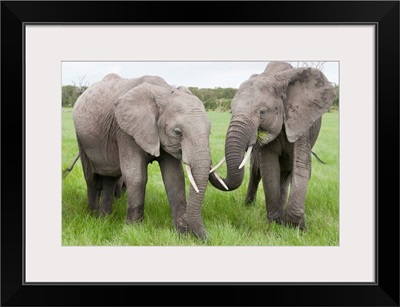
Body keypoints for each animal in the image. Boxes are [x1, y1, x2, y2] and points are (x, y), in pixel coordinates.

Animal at [74, 73, 214, 241]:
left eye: (209, 132)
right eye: (177, 132)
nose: (208, 239)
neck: (164, 91)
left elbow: (174, 178)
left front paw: (183, 236)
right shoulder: (125, 130)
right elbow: (136, 177)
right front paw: (133, 231)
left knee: (110, 178)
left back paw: (104, 219)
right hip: (82, 140)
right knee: (91, 177)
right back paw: (92, 215)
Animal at [211, 61, 336, 230]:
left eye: (263, 112)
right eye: (231, 111)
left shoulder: (300, 122)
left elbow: (300, 165)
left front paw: (296, 228)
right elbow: (269, 168)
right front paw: (276, 224)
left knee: (287, 174)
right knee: (256, 172)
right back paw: (248, 206)